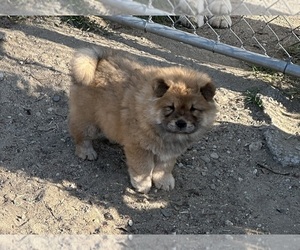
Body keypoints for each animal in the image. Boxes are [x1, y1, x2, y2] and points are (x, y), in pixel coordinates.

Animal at [69, 47, 217, 193]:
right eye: (170, 107)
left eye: (193, 109)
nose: (181, 123)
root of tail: (101, 60)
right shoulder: (140, 146)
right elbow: (143, 168)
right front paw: (142, 185)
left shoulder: (168, 152)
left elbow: (164, 167)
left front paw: (164, 181)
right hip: (88, 120)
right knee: (82, 136)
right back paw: (86, 152)